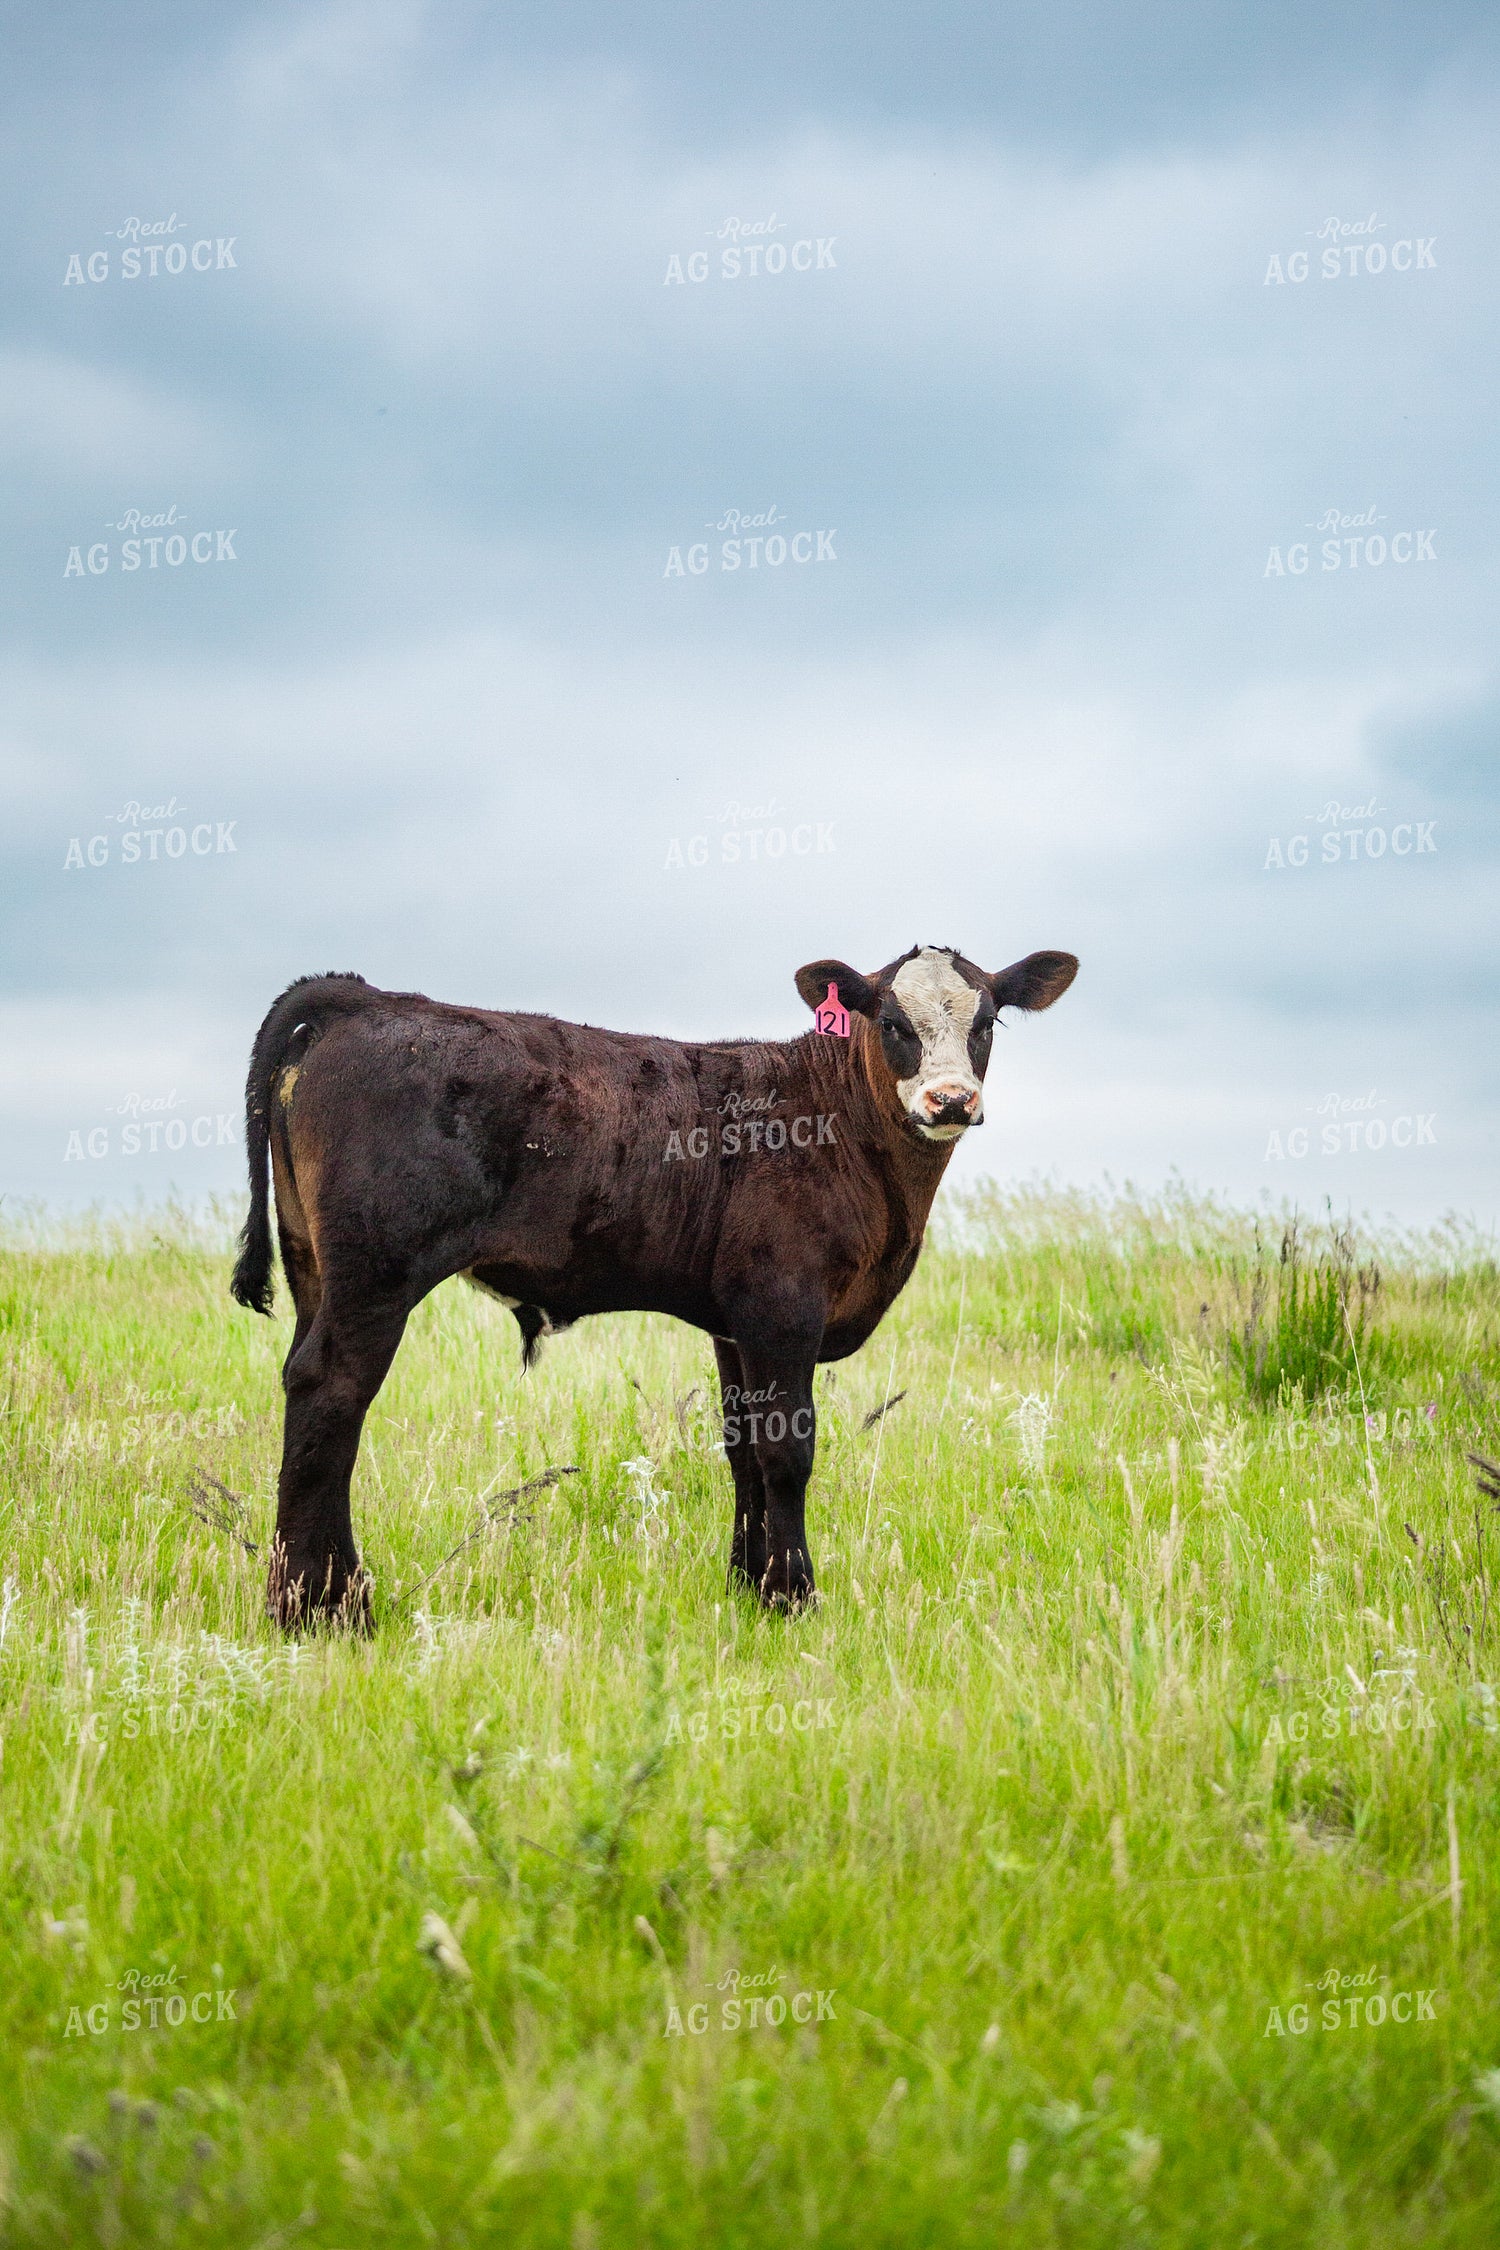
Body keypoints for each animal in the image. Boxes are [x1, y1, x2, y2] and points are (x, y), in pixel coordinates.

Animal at [231, 942, 1077, 1626]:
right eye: (894, 1023)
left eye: (986, 1022)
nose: (952, 1100)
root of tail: (369, 998)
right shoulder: (783, 1306)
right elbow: (788, 1450)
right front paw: (796, 1597)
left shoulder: (735, 1319)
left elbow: (742, 1448)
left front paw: (750, 1588)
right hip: (376, 1271)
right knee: (331, 1396)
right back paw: (327, 1608)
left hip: (314, 1268)